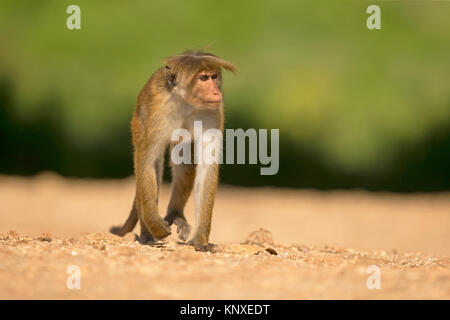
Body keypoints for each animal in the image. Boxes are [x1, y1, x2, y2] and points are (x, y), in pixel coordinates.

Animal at [110, 49, 236, 250]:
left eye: (214, 77)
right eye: (203, 78)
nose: (216, 92)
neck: (186, 103)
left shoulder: (213, 112)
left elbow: (206, 168)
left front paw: (200, 239)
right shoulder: (159, 112)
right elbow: (146, 162)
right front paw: (154, 225)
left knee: (183, 159)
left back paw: (175, 214)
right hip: (137, 122)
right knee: (152, 163)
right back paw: (147, 233)